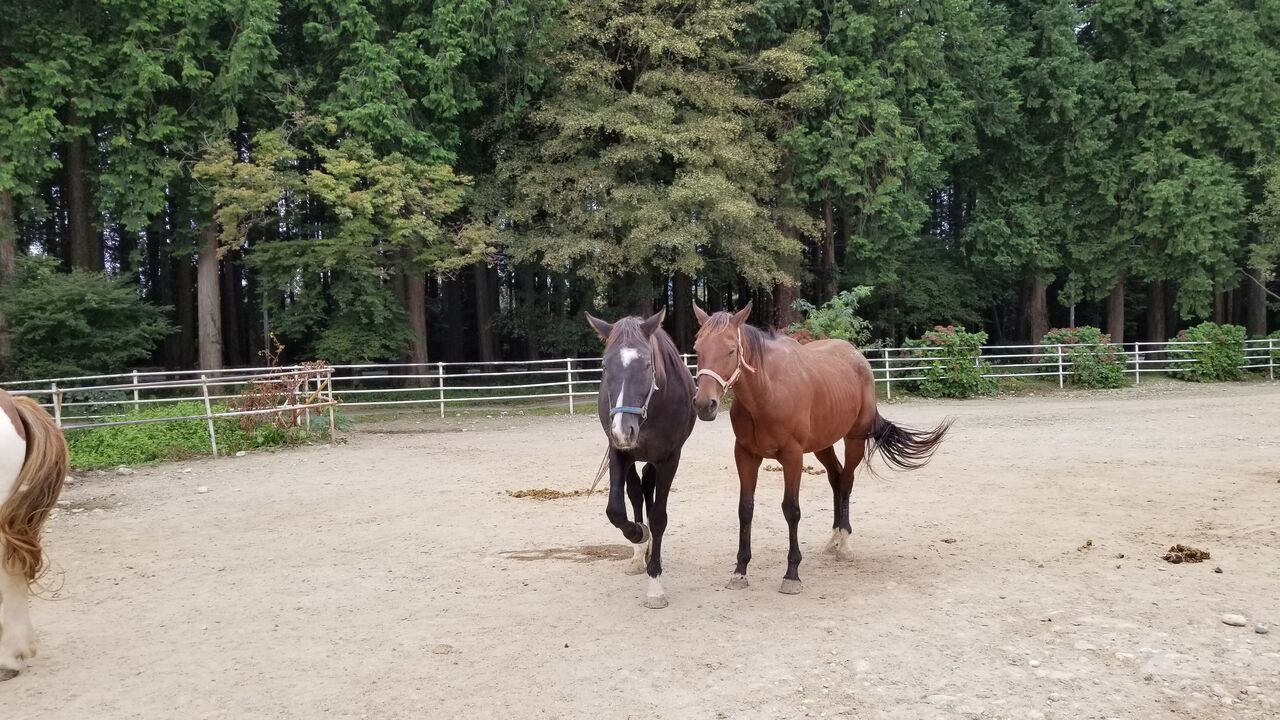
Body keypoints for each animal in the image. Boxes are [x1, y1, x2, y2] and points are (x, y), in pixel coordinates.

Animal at [691, 299, 952, 591]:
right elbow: (745, 509)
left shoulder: (793, 457)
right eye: (697, 349)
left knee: (846, 481)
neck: (767, 392)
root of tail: (858, 357)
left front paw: (792, 573)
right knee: (836, 478)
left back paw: (844, 544)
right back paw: (834, 539)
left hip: (853, 440)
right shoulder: (745, 455)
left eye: (731, 350)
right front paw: (740, 571)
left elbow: (791, 510)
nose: (705, 405)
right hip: (821, 445)